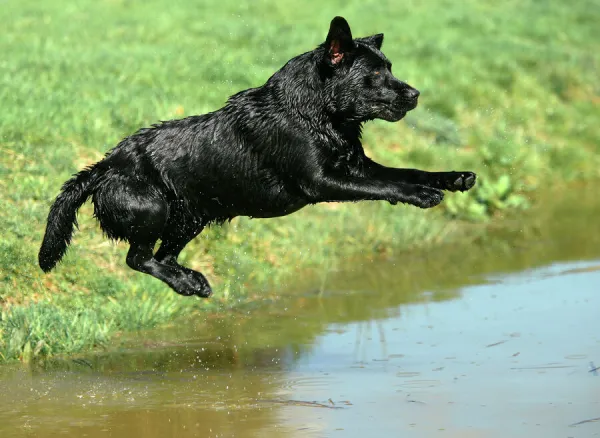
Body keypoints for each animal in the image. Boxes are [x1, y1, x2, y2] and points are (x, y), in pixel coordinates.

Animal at [38, 17, 478, 298]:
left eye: (390, 68)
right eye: (375, 75)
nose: (416, 93)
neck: (315, 113)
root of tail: (103, 165)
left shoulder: (356, 165)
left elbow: (407, 170)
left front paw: (452, 177)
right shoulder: (321, 181)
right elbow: (387, 184)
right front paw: (421, 195)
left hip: (191, 215)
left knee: (160, 255)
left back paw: (191, 281)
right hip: (154, 208)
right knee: (138, 258)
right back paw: (187, 282)